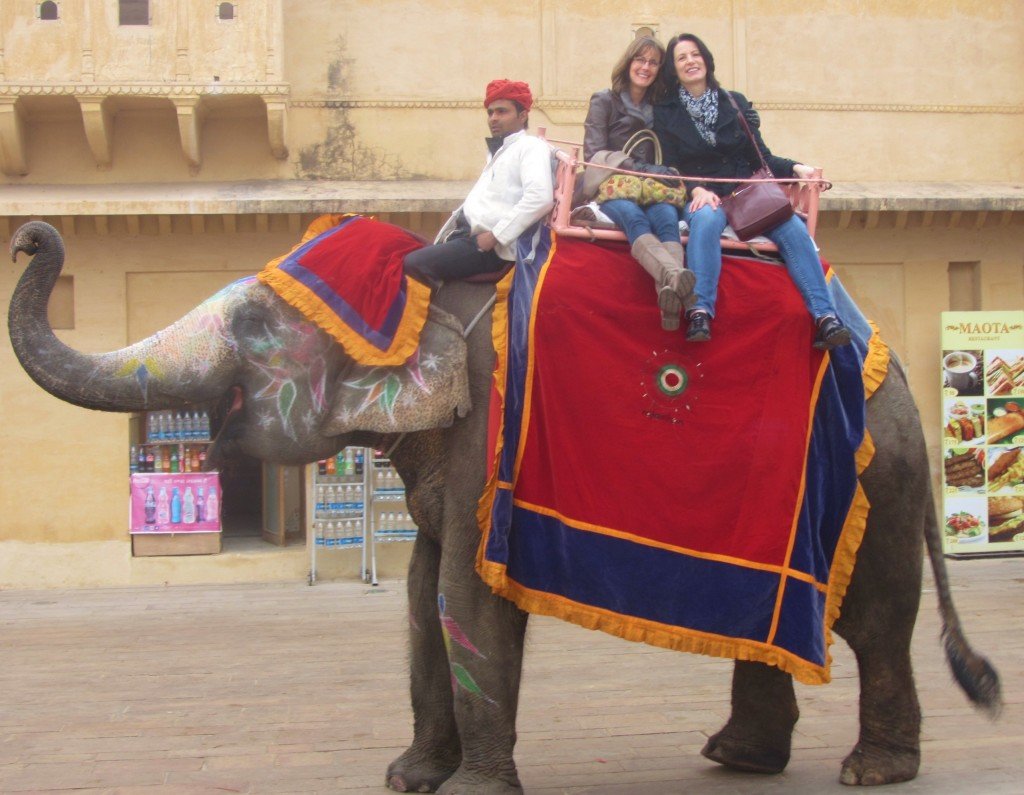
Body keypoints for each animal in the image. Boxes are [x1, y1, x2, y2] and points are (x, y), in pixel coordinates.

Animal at [8, 220, 999, 790]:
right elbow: (418, 599)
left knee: (874, 620)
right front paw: (408, 779)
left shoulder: (493, 432)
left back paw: (870, 771)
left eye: (253, 326)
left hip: (879, 477)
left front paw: (475, 791)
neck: (425, 285)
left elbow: (465, 594)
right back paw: (735, 758)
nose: (31, 239)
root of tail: (891, 363)